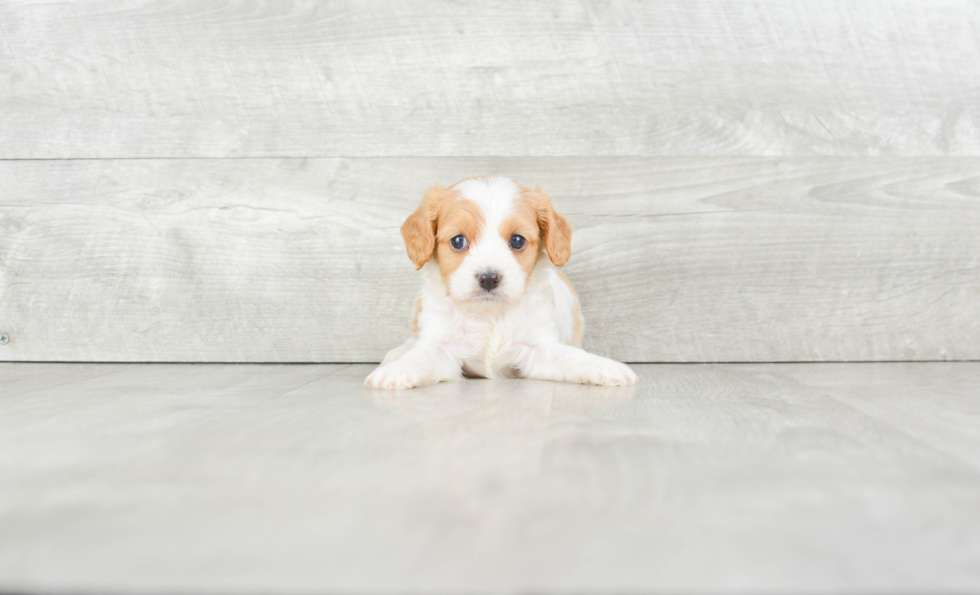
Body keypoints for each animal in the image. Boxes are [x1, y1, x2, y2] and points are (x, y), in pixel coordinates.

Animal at [364, 176, 640, 392]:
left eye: (517, 241)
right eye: (457, 241)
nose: (489, 278)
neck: (489, 315)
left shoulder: (538, 347)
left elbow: (570, 355)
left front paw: (603, 366)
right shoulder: (441, 344)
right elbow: (421, 355)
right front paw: (397, 370)